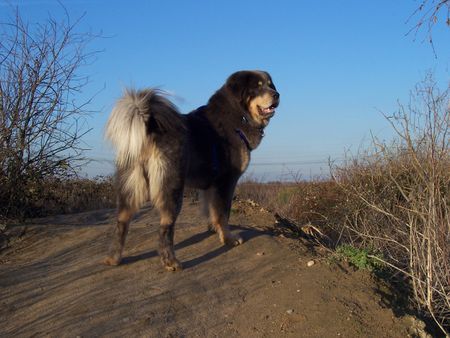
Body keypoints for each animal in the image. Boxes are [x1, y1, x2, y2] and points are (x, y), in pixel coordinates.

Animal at [104, 70, 280, 270]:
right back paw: (170, 261)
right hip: (172, 188)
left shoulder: (211, 185)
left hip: (131, 188)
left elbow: (212, 210)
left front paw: (213, 229)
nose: (277, 95)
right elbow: (223, 213)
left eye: (270, 85)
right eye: (258, 87)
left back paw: (114, 258)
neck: (238, 116)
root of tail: (149, 127)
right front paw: (228, 238)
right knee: (165, 228)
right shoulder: (226, 181)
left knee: (121, 222)